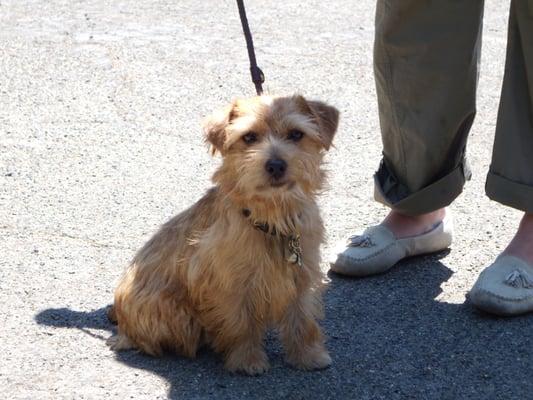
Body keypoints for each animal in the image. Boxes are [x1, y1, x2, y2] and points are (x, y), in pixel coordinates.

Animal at [107, 94, 338, 376]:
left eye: (296, 134)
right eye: (249, 137)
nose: (275, 165)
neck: (272, 220)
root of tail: (122, 322)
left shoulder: (302, 276)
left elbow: (303, 320)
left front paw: (308, 356)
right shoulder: (231, 284)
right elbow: (241, 324)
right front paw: (247, 360)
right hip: (176, 314)